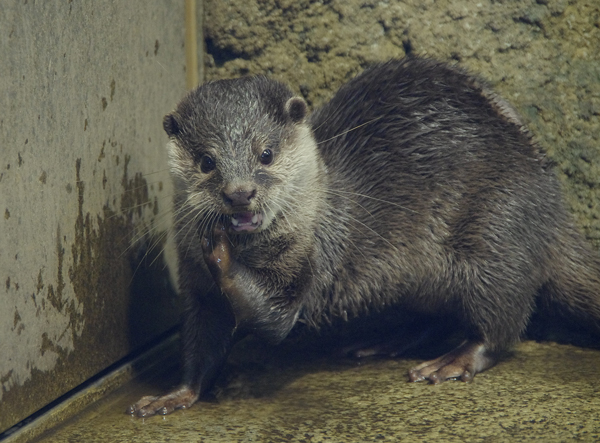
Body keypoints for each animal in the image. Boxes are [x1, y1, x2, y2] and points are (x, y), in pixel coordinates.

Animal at [129, 57, 600, 418]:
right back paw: (385, 342)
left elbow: (275, 318)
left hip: (496, 233)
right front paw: (175, 395)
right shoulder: (196, 287)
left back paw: (451, 361)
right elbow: (200, 344)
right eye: (206, 162)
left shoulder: (313, 259)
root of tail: (553, 200)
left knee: (501, 322)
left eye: (265, 153)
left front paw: (223, 251)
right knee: (439, 315)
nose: (239, 193)